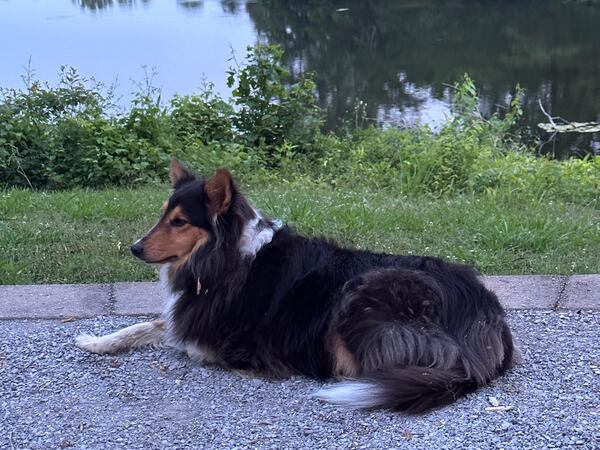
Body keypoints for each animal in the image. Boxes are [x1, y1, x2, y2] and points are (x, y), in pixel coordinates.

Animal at [77, 160, 520, 414]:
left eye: (180, 221)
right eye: (163, 215)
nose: (135, 248)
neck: (225, 258)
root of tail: (487, 314)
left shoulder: (213, 337)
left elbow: (180, 337)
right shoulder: (185, 315)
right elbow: (148, 325)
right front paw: (97, 341)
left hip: (362, 294)